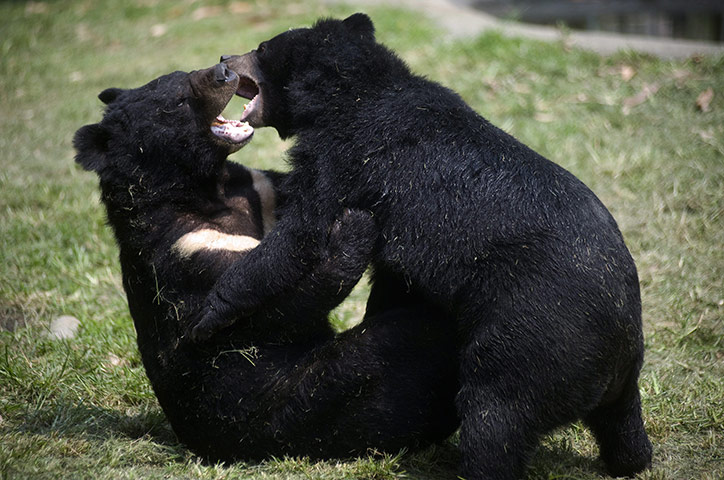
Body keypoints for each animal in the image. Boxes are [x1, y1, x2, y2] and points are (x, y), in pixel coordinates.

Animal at [73, 62, 460, 461]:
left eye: (183, 73)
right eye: (178, 102)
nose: (223, 72)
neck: (208, 189)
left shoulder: (262, 189)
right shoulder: (190, 250)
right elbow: (265, 314)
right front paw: (354, 226)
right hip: (288, 406)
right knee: (395, 347)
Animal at [190, 14, 653, 479]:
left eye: (262, 49)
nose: (225, 58)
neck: (352, 94)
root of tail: (619, 342)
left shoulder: (345, 161)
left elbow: (299, 234)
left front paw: (208, 315)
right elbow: (389, 282)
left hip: (530, 338)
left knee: (495, 414)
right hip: (610, 380)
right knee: (620, 424)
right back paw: (632, 459)